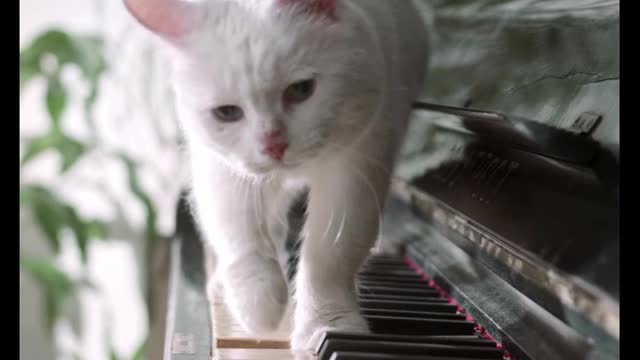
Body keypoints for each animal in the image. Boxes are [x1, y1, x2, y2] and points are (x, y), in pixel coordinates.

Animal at [123, 0, 428, 354]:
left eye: (301, 90)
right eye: (227, 113)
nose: (273, 145)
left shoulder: (359, 165)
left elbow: (330, 255)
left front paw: (327, 326)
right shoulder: (221, 169)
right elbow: (240, 236)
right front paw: (259, 308)